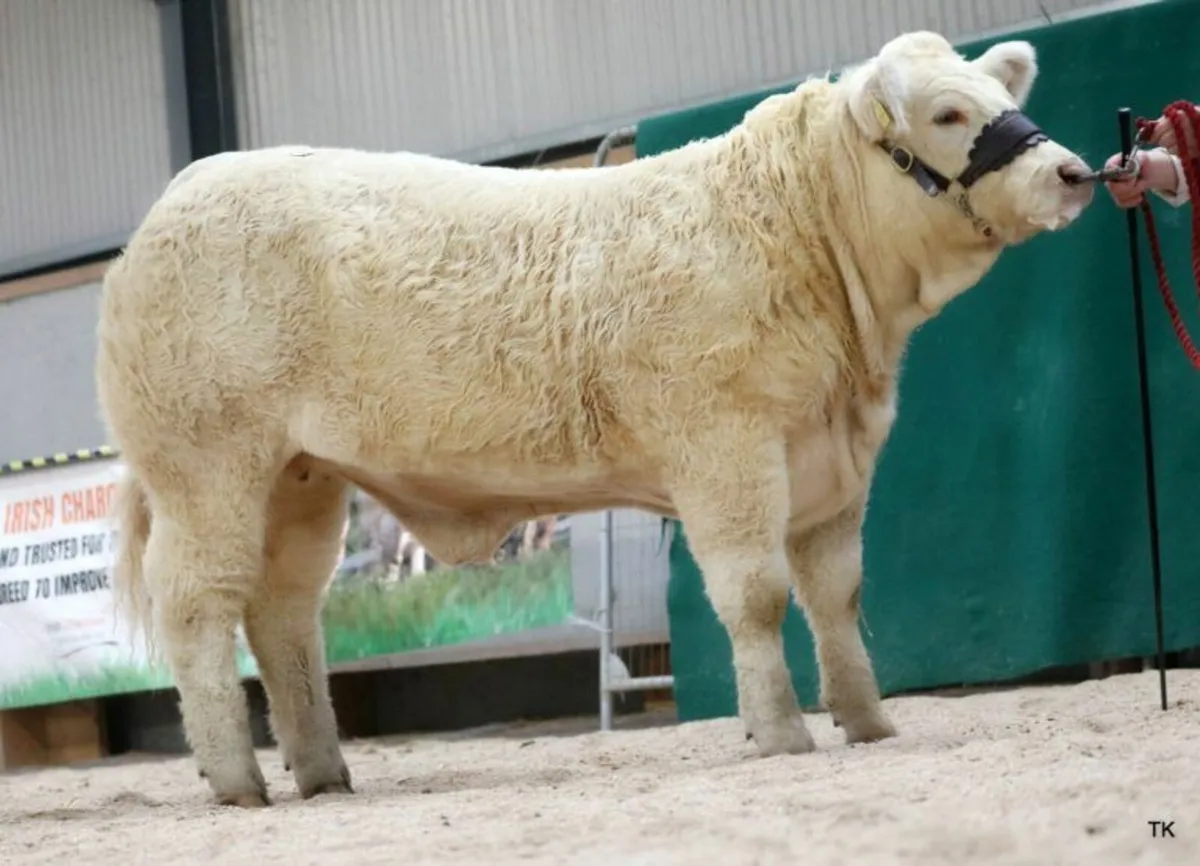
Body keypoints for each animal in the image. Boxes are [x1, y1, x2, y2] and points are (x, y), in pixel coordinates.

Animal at [95, 30, 1096, 807]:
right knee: (200, 607)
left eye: (995, 95)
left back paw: (323, 772)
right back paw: (237, 780)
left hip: (300, 480)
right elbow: (756, 594)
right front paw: (780, 732)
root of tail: (182, 193)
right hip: (207, 469)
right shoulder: (726, 449)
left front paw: (869, 721)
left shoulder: (835, 466)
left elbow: (838, 594)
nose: (1074, 172)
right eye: (948, 115)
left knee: (284, 612)